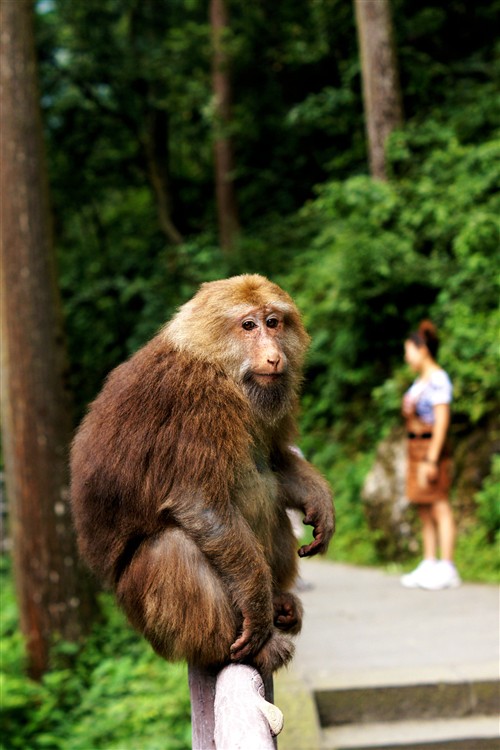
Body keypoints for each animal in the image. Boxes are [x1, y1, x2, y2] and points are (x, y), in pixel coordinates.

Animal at [70, 274, 334, 676]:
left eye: (273, 322)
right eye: (248, 325)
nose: (274, 355)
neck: (217, 364)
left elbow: (273, 461)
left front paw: (320, 501)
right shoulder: (200, 403)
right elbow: (201, 505)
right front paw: (257, 610)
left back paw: (280, 603)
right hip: (148, 615)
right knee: (174, 546)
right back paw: (250, 643)